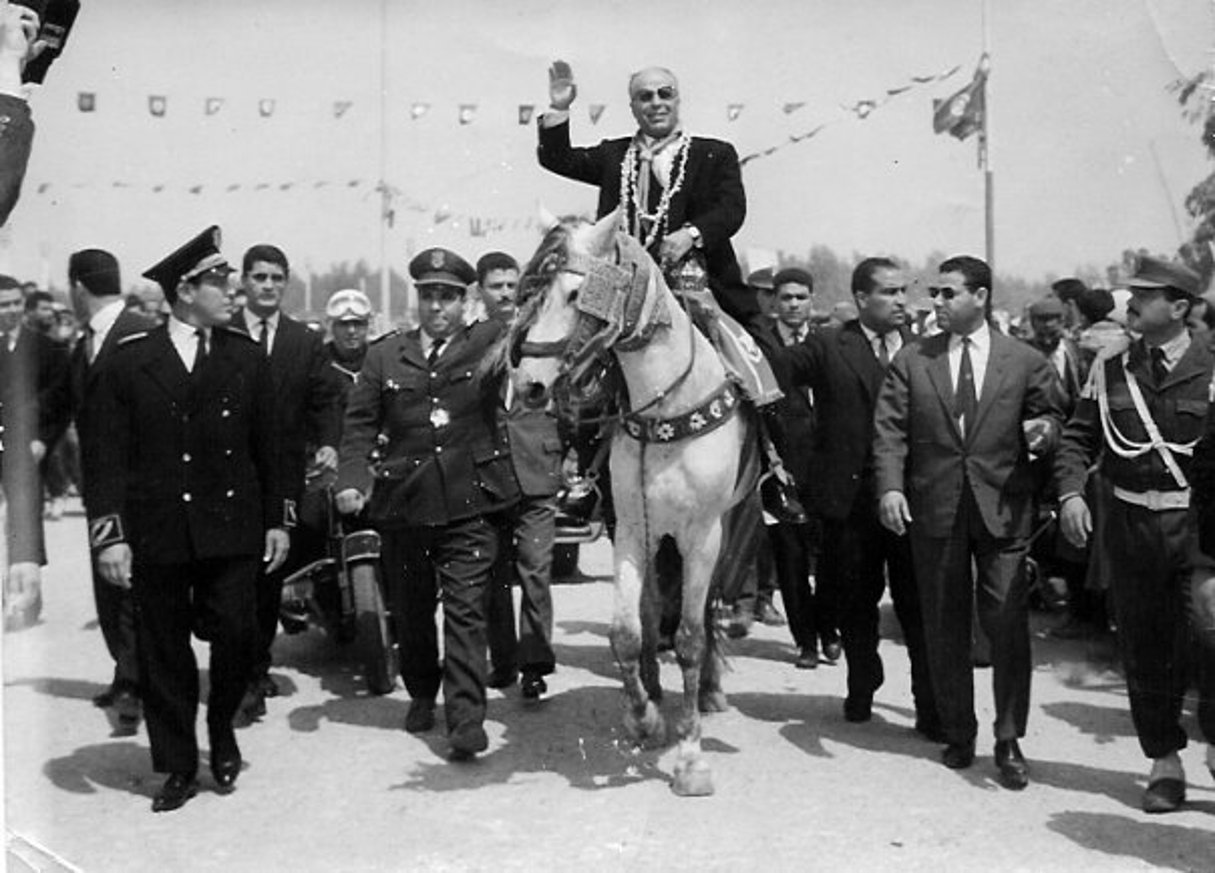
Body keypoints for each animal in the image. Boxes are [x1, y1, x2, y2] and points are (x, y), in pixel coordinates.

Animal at [505, 213, 758, 801]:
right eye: (535, 294)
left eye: (577, 294)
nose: (529, 385)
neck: (667, 404)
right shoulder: (632, 529)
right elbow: (627, 628)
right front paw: (644, 718)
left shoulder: (702, 535)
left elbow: (688, 636)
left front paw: (691, 758)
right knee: (652, 608)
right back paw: (657, 690)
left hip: (728, 524)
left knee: (707, 606)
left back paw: (710, 689)